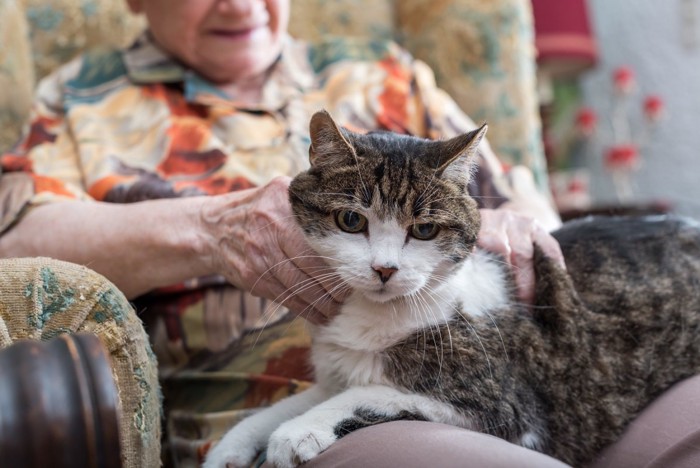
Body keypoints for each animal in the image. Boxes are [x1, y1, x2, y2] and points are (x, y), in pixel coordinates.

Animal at [205, 110, 700, 468]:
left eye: (424, 230)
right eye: (351, 220)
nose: (384, 269)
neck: (375, 318)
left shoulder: (504, 407)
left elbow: (370, 395)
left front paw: (296, 433)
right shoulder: (337, 371)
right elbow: (288, 403)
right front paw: (231, 445)